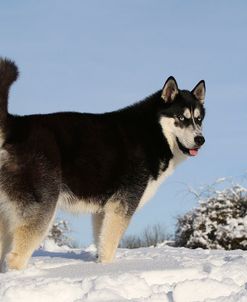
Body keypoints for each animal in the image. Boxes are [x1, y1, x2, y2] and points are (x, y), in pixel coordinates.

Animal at [0, 58, 206, 272]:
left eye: (199, 119)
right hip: (43, 206)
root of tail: (16, 125)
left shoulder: (102, 210)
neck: (153, 132)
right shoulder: (122, 204)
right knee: (15, 257)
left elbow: (102, 242)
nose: (200, 139)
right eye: (181, 118)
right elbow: (110, 245)